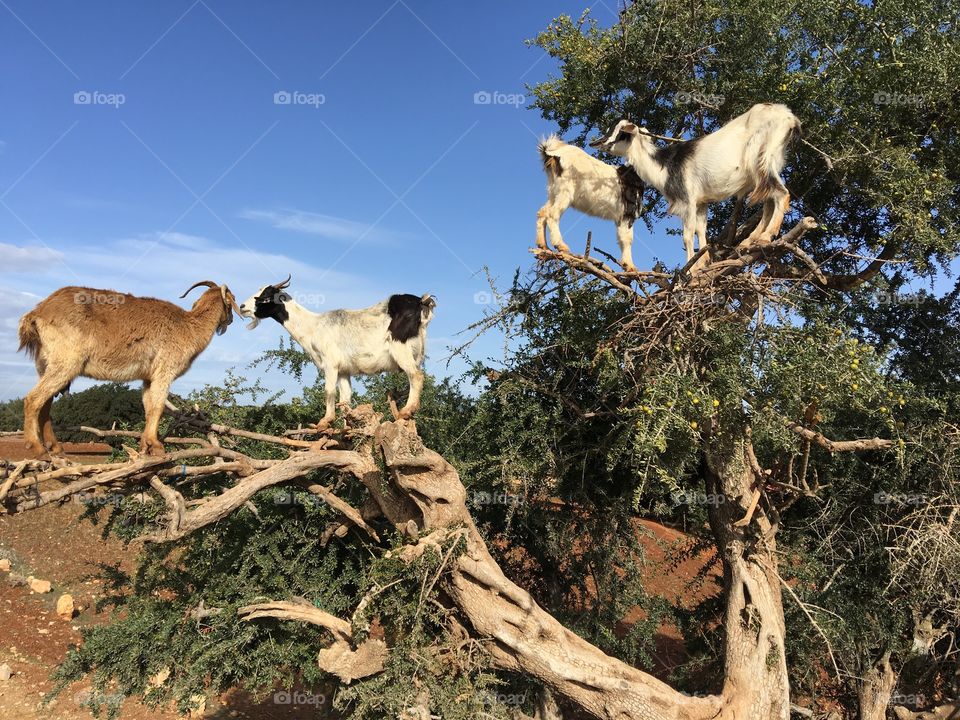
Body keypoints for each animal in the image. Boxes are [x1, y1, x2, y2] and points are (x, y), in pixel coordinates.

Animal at [17, 281, 240, 458]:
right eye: (232, 301)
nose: (230, 320)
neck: (190, 326)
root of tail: (37, 313)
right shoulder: (164, 371)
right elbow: (158, 407)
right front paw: (157, 447)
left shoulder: (148, 378)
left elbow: (149, 408)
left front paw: (145, 446)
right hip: (65, 363)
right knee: (33, 399)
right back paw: (37, 448)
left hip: (44, 364)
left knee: (45, 404)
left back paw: (55, 448)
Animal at [238, 276, 436, 428]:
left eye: (264, 297)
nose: (242, 307)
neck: (313, 326)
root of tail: (422, 302)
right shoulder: (344, 371)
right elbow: (345, 400)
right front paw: (346, 429)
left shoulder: (330, 363)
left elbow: (329, 392)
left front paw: (325, 421)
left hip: (400, 347)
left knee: (416, 375)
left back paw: (406, 411)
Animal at [536, 135, 645, 271]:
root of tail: (553, 153)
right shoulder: (628, 213)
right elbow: (627, 239)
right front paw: (630, 267)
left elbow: (621, 237)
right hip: (565, 190)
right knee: (552, 214)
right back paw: (561, 245)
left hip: (553, 191)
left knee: (542, 212)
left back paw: (542, 246)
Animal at [590, 103, 802, 260]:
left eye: (622, 133)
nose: (597, 143)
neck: (664, 166)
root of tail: (788, 117)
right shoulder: (701, 203)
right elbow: (701, 232)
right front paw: (702, 263)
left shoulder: (688, 201)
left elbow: (687, 236)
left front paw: (689, 271)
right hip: (771, 163)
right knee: (769, 201)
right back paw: (749, 241)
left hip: (759, 158)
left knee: (782, 194)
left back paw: (765, 237)